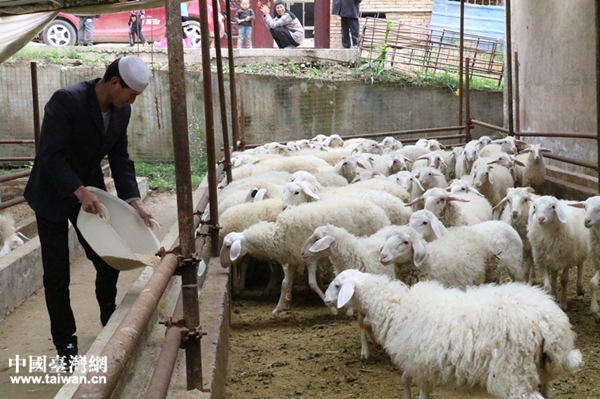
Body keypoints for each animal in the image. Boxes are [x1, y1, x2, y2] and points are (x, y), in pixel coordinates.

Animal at [218, 198, 392, 318]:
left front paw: (332, 309)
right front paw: (277, 309)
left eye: (227, 246)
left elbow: (312, 283)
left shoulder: (309, 259)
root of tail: (379, 210)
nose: (222, 263)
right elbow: (284, 283)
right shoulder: (293, 260)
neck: (277, 235)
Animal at [326, 270, 584, 399]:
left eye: (337, 286)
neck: (395, 307)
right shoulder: (418, 362)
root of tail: (552, 325)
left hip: (513, 374)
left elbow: (418, 390)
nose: (327, 300)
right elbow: (406, 381)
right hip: (540, 373)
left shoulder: (419, 363)